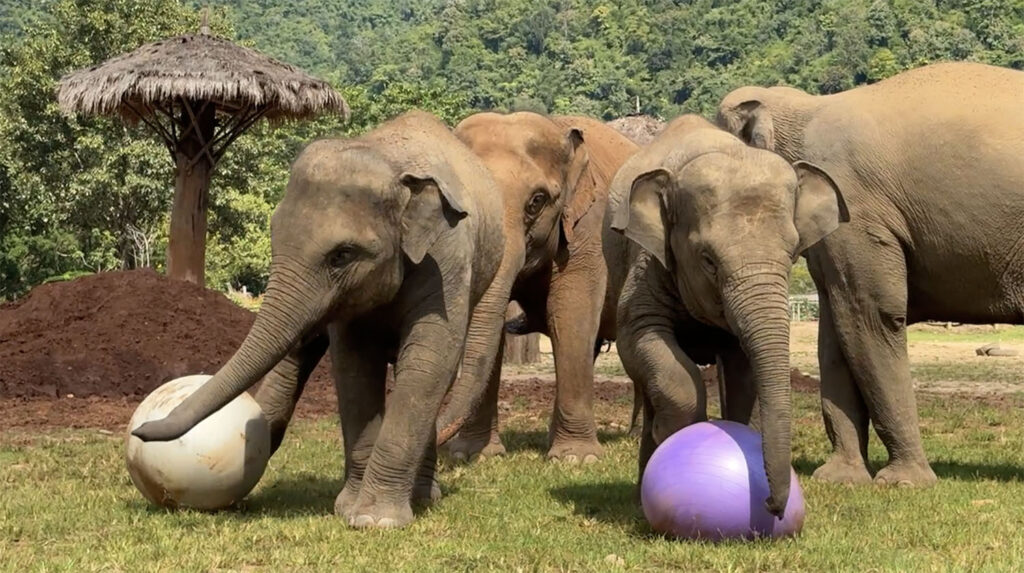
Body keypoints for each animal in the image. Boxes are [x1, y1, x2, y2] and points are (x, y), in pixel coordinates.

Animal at [131, 110, 517, 529]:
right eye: (274, 238)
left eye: (342, 255)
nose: (139, 430)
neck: (389, 163)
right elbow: (353, 367)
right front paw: (349, 509)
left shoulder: (447, 261)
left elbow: (429, 362)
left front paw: (375, 521)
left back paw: (422, 497)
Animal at [610, 114, 847, 515]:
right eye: (708, 260)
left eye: (792, 254)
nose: (770, 504)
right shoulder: (648, 260)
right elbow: (639, 333)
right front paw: (671, 433)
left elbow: (742, 374)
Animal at [717, 61, 1024, 487]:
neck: (803, 106)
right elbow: (835, 329)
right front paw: (839, 478)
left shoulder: (856, 210)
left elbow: (870, 316)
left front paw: (903, 482)